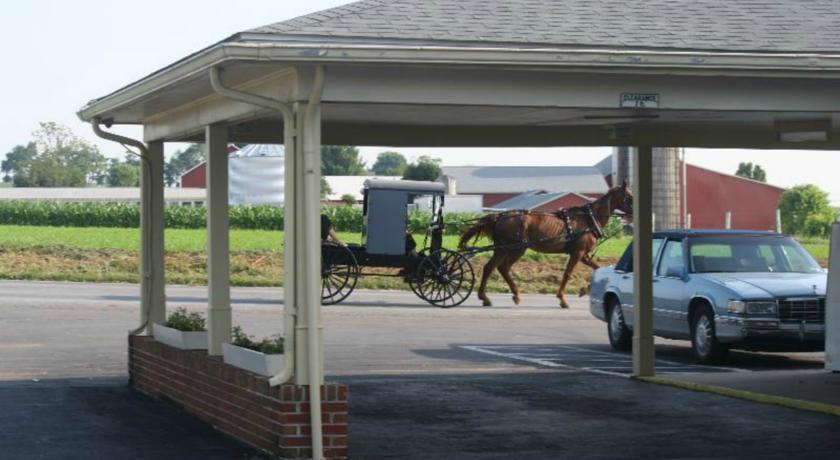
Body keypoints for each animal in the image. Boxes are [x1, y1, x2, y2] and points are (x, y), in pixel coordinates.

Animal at [456, 181, 632, 308]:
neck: (588, 218)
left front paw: (585, 289)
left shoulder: (584, 254)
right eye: (629, 196)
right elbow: (567, 273)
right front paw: (562, 299)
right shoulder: (578, 252)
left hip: (503, 249)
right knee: (501, 267)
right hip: (515, 248)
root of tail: (499, 216)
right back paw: (510, 295)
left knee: (491, 268)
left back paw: (487, 297)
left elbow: (597, 268)